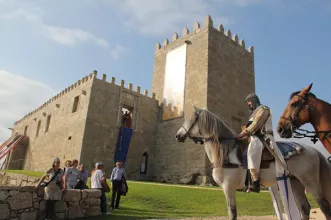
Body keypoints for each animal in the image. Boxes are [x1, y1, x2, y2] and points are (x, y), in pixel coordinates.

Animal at [175, 105, 330, 219]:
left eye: (190, 120)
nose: (177, 136)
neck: (226, 152)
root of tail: (313, 150)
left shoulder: (228, 188)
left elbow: (232, 213)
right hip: (295, 183)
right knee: (305, 208)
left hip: (310, 183)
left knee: (324, 207)